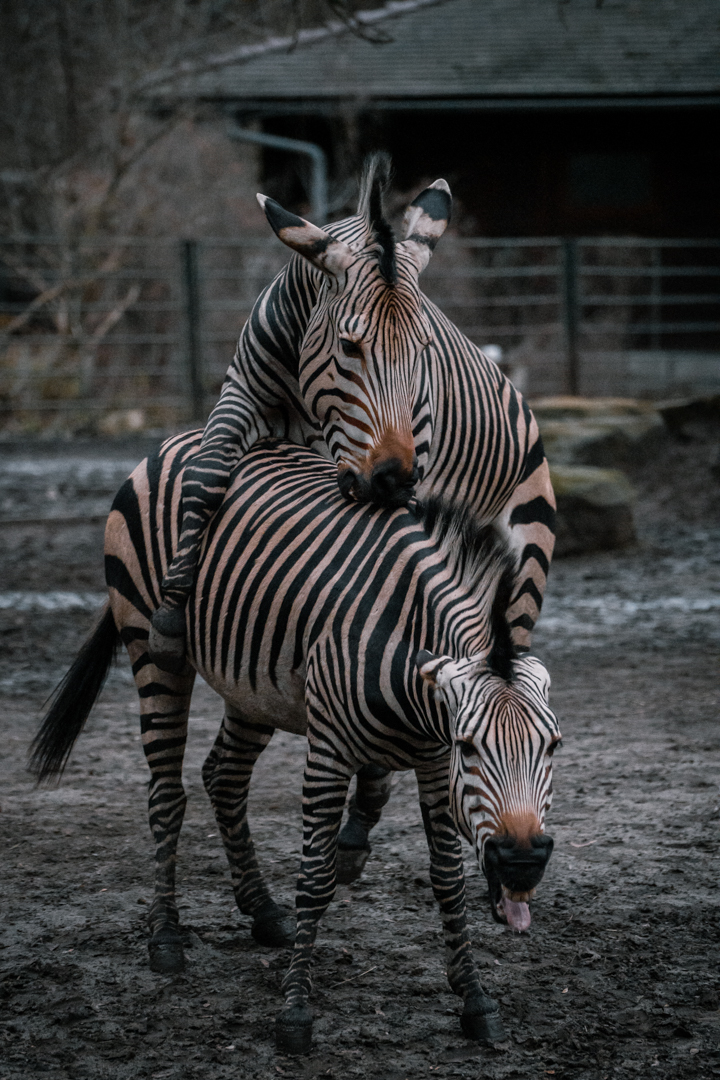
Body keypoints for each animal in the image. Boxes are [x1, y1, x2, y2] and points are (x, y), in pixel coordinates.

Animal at [31, 432, 561, 1054]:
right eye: (470, 748)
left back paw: (262, 912)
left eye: (552, 747)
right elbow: (316, 879)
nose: (522, 862)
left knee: (223, 777)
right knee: (167, 795)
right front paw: (295, 1012)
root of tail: (181, 439)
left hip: (253, 686)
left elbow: (448, 880)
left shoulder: (432, 765)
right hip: (152, 648)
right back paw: (164, 937)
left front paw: (475, 1001)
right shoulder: (331, 752)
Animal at [148, 154, 556, 676]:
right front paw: (170, 612)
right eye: (348, 345)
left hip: (526, 548)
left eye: (424, 349)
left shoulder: (414, 440)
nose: (394, 480)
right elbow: (207, 472)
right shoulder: (242, 391)